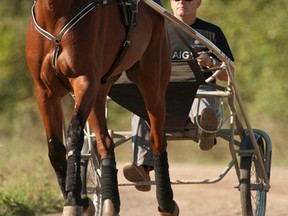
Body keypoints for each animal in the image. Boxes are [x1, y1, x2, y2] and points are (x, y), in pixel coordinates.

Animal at [25, 0, 178, 215]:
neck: (56, 13)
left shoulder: (85, 80)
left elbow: (74, 134)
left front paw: (73, 201)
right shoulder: (45, 92)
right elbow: (55, 148)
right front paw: (84, 201)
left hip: (153, 82)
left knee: (157, 139)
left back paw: (166, 203)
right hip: (100, 90)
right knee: (105, 142)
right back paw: (110, 203)